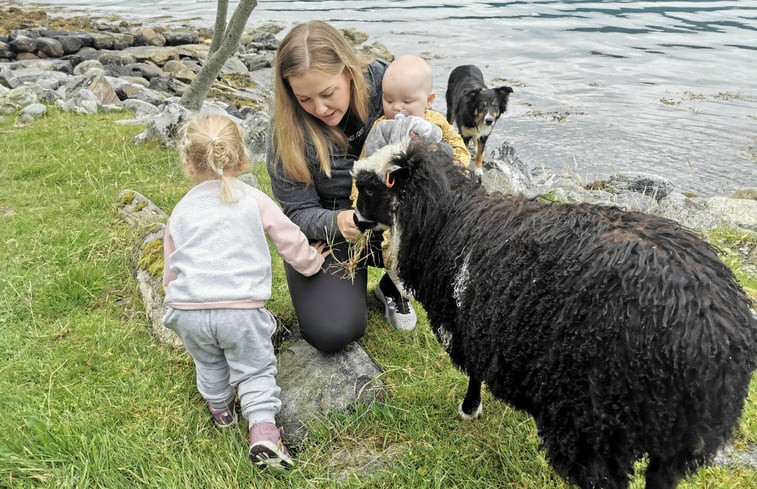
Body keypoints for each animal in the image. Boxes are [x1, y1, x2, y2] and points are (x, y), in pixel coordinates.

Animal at [352, 138, 752, 488]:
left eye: (368, 190)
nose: (353, 220)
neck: (446, 220)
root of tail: (712, 330)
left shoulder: (471, 324)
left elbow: (475, 373)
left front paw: (469, 409)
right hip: (673, 438)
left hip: (595, 418)